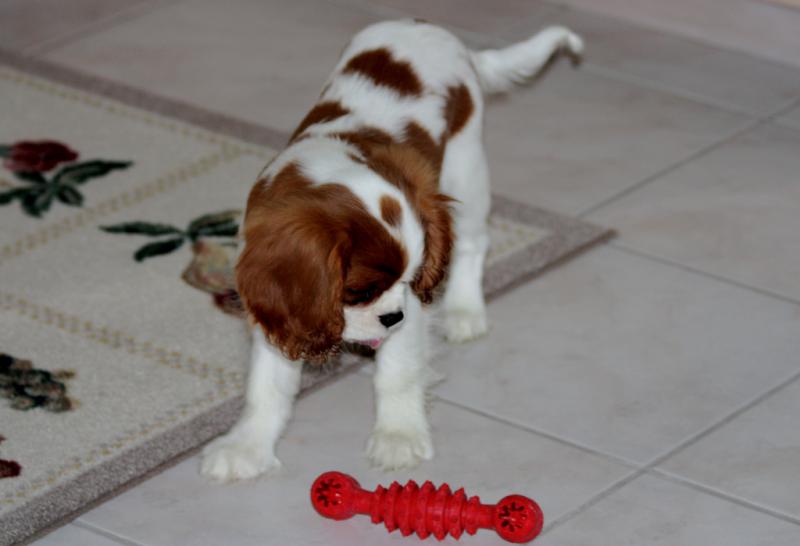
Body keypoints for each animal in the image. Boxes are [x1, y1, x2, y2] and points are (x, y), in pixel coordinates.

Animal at [200, 19, 580, 478]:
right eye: (359, 292)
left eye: (411, 281)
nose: (392, 316)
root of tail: (428, 29)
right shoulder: (278, 312)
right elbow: (266, 387)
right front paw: (246, 448)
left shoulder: (411, 306)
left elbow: (397, 373)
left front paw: (399, 438)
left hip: (467, 169)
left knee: (473, 243)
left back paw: (465, 311)